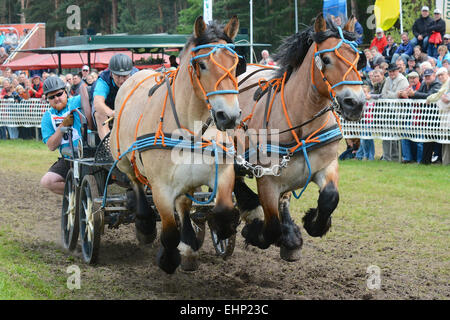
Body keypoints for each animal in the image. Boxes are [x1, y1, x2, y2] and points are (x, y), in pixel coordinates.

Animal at [109, 16, 243, 274]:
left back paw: (189, 243)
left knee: (183, 203)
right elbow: (169, 231)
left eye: (235, 63)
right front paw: (168, 258)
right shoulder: (160, 187)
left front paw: (217, 229)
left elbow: (222, 209)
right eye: (202, 64)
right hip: (123, 160)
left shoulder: (221, 170)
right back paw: (145, 224)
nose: (229, 116)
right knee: (135, 182)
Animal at [234, 13, 368, 262]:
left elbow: (330, 198)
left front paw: (314, 223)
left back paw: (290, 238)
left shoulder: (326, 165)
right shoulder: (267, 180)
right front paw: (254, 230)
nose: (355, 103)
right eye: (325, 59)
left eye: (358, 59)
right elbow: (271, 226)